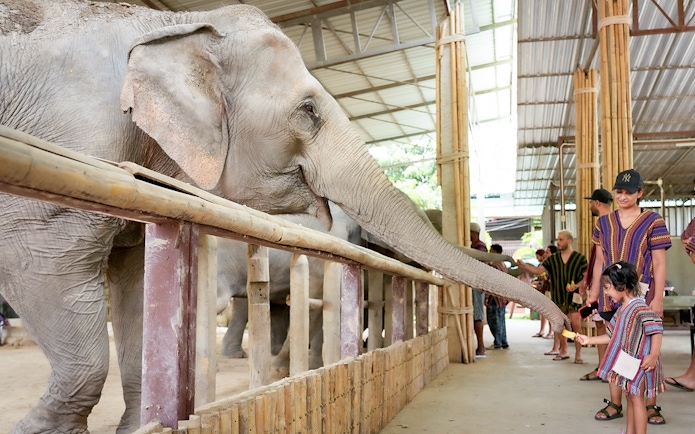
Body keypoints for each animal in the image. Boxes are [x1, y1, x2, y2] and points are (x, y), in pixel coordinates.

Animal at [0, 1, 567, 432]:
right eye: (309, 112)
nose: (563, 322)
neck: (175, 22)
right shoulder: (69, 138)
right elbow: (48, 263)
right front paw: (37, 430)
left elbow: (137, 282)